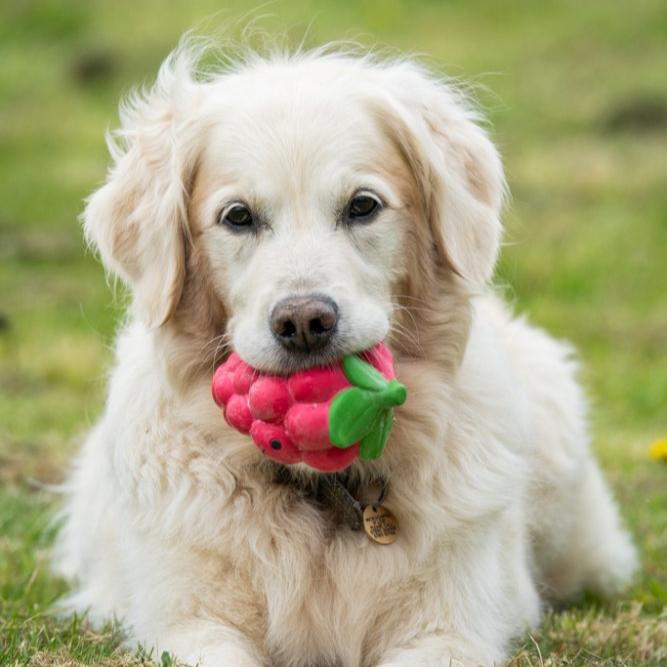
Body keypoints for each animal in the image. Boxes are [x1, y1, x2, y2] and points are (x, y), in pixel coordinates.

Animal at [54, 43, 640, 667]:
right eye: (237, 216)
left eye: (362, 206)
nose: (304, 322)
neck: (323, 488)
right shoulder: (188, 621)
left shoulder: (446, 628)